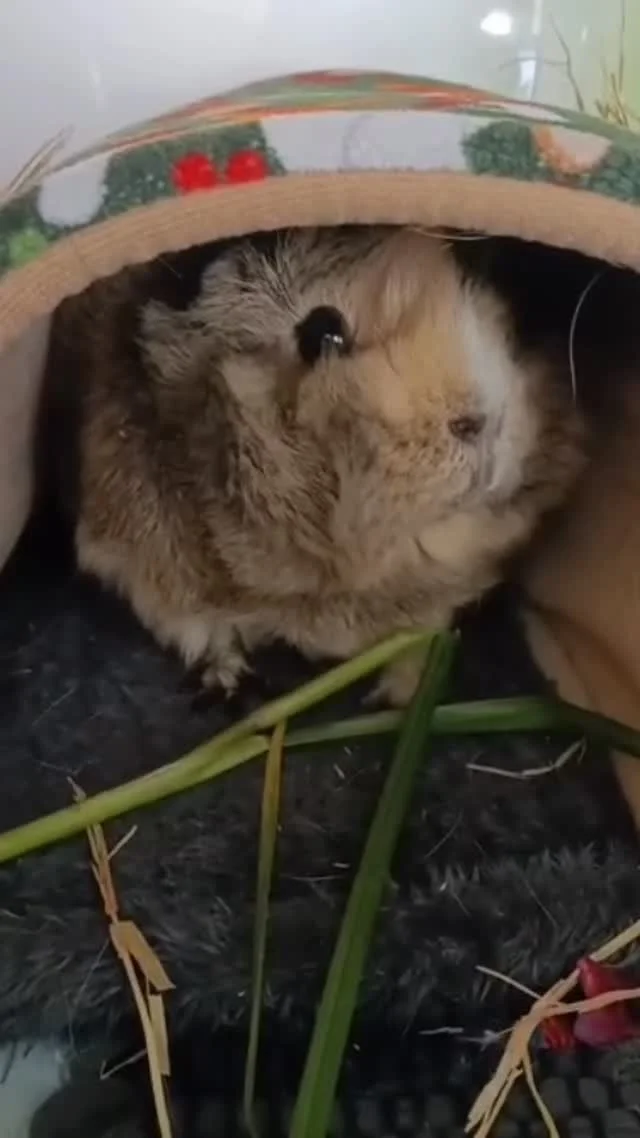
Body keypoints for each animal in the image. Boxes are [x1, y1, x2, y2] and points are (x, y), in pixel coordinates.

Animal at [42, 225, 587, 706]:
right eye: (321, 332)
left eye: (479, 279)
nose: (481, 419)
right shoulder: (145, 565)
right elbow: (207, 632)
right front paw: (232, 683)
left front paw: (394, 698)